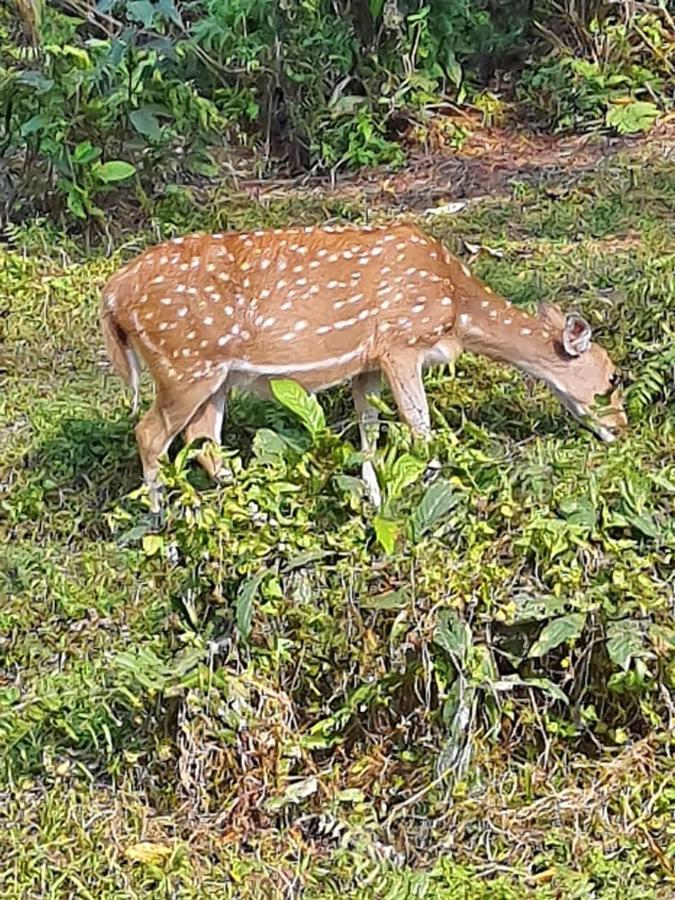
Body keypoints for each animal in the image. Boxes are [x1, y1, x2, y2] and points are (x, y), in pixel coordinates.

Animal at [101, 222, 628, 510]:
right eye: (611, 380)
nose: (622, 429)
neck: (455, 307)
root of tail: (112, 296)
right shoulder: (400, 341)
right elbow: (419, 425)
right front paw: (439, 496)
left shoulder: (366, 364)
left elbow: (369, 432)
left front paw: (376, 498)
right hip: (184, 363)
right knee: (150, 433)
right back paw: (162, 526)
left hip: (215, 377)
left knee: (203, 441)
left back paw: (250, 508)